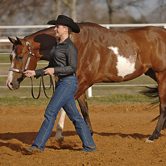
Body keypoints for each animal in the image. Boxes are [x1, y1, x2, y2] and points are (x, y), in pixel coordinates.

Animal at [5, 22, 166, 143]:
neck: (79, 44)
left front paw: (59, 135)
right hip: (153, 73)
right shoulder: (77, 83)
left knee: (163, 106)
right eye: (10, 56)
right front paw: (88, 132)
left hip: (161, 76)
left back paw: (153, 136)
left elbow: (64, 106)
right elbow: (83, 109)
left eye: (20, 56)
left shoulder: (85, 82)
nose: (10, 83)